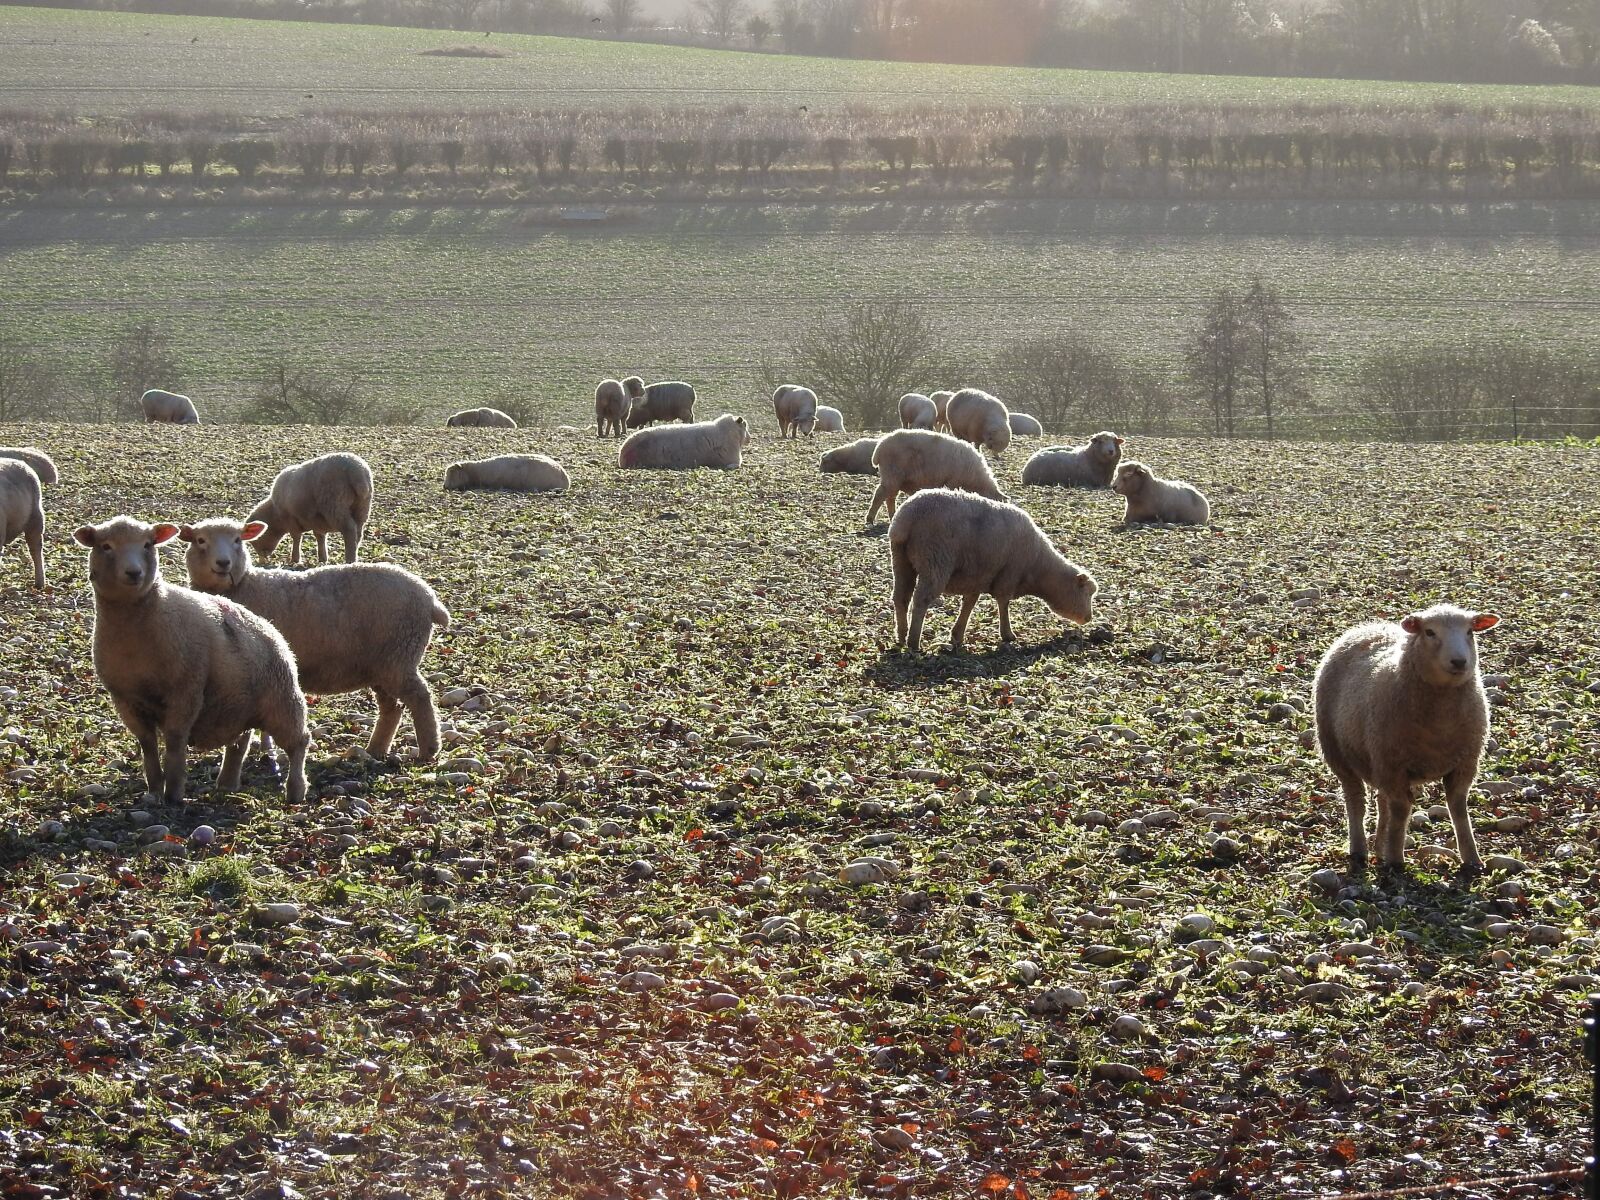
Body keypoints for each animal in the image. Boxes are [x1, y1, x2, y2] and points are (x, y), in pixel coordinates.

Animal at [74, 516, 309, 805]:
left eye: (147, 544)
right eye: (105, 546)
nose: (134, 573)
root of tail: (269, 628)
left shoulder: (186, 689)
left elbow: (175, 742)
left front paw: (174, 793)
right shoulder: (125, 699)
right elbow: (147, 745)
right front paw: (154, 790)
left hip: (283, 699)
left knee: (299, 743)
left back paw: (296, 790)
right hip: (241, 702)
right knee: (240, 741)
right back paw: (227, 784)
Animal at [181, 517, 451, 762]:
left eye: (238, 540)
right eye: (200, 540)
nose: (223, 563)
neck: (245, 585)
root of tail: (430, 598)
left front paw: (266, 748)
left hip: (400, 654)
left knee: (420, 697)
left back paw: (428, 749)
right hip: (384, 664)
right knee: (392, 707)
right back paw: (377, 749)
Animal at [866, 429, 1005, 525]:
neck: (977, 479)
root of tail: (878, 449)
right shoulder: (952, 481)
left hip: (896, 479)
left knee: (890, 498)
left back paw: (892, 516)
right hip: (892, 475)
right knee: (880, 495)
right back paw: (870, 519)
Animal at [889, 488, 1096, 654]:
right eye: (1087, 593)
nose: (1089, 618)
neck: (1039, 567)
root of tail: (906, 518)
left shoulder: (978, 576)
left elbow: (969, 603)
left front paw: (957, 635)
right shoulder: (1009, 574)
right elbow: (1003, 603)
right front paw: (1008, 634)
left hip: (901, 560)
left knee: (901, 597)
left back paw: (901, 636)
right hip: (935, 560)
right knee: (921, 600)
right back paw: (914, 642)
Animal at [1312, 605, 1502, 874]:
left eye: (1469, 631)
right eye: (1430, 632)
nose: (1459, 661)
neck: (1440, 724)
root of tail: (1367, 626)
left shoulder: (1465, 764)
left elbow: (1458, 809)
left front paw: (1472, 859)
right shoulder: (1393, 764)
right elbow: (1401, 810)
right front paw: (1395, 859)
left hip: (1376, 760)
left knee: (1382, 802)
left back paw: (1379, 848)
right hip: (1339, 753)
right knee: (1356, 802)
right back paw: (1360, 850)